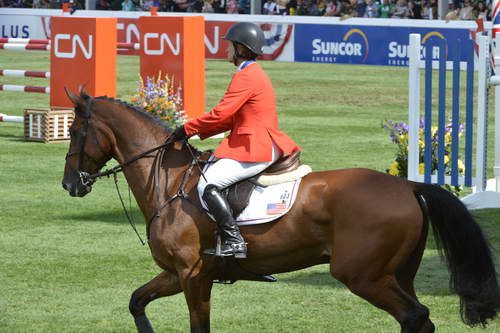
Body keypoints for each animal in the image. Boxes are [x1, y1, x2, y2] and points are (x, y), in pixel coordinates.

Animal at [62, 89, 500, 332]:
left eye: (74, 131)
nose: (70, 185)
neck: (169, 183)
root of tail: (409, 185)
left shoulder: (193, 275)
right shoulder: (176, 273)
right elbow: (137, 301)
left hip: (363, 275)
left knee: (414, 316)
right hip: (397, 273)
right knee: (420, 320)